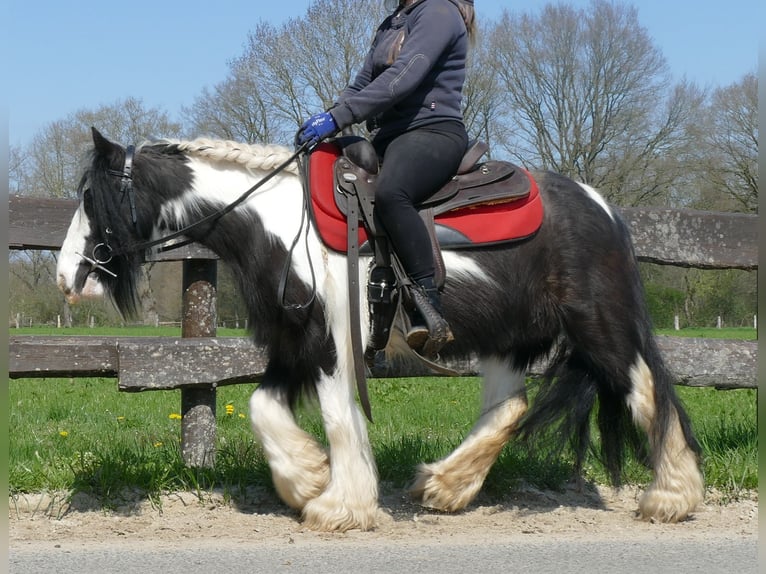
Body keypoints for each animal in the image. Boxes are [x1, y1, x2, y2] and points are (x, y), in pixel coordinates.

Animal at [57, 128, 708, 532]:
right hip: (504, 342)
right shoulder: (296, 343)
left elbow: (339, 418)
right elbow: (265, 408)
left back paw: (672, 497)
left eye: (91, 195)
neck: (278, 222)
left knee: (649, 390)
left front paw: (338, 505)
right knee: (510, 407)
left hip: (601, 327)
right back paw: (443, 486)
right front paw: (306, 479)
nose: (67, 276)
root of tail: (603, 207)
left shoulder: (328, 345)